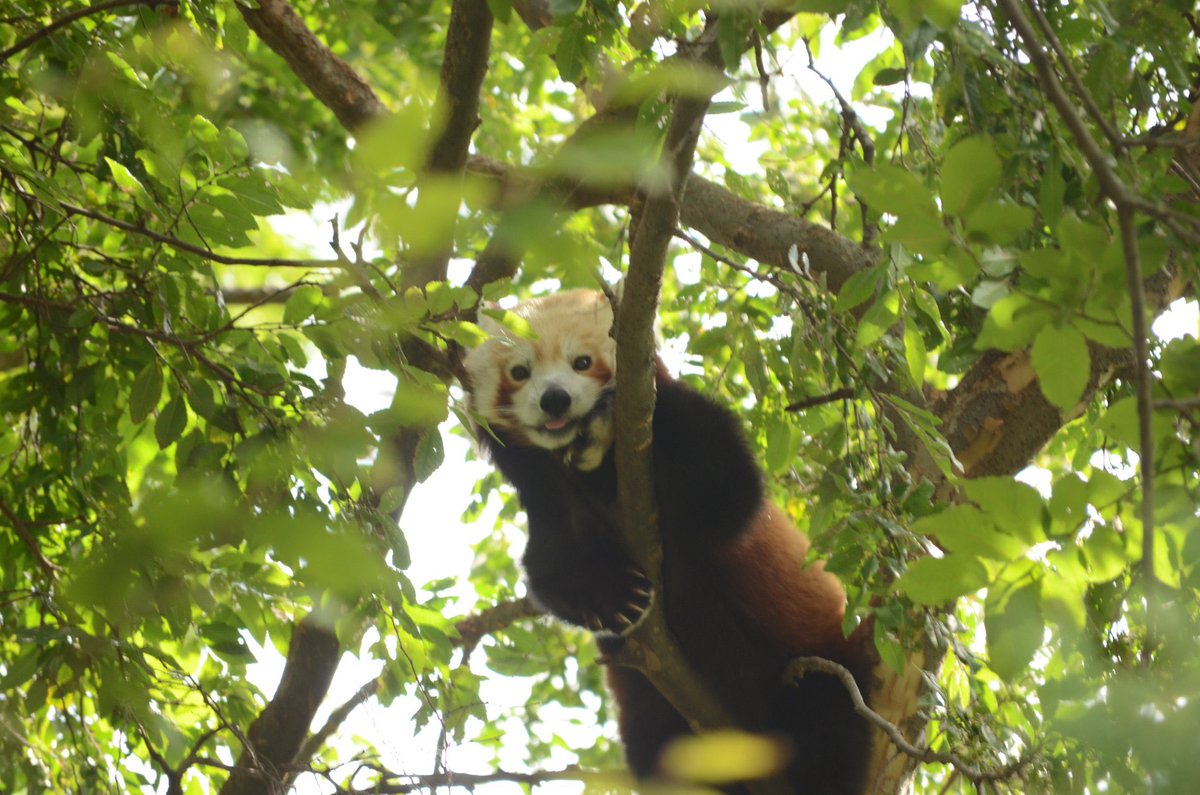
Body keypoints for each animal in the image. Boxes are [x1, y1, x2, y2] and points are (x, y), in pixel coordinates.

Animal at [463, 288, 874, 794]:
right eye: (520, 372)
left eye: (582, 362)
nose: (555, 400)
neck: (599, 476)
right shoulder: (551, 505)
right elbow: (553, 573)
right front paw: (615, 599)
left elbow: (726, 490)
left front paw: (610, 415)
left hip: (820, 664)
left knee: (826, 728)